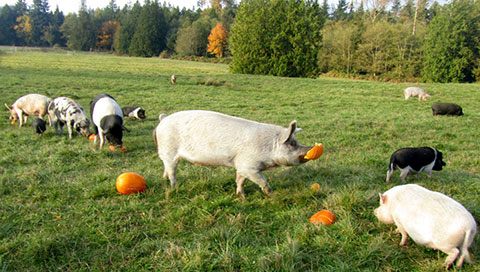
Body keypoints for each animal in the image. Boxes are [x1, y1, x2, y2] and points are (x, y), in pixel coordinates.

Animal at [153, 109, 316, 197]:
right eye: (292, 144)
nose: (309, 148)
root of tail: (163, 119)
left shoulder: (241, 166)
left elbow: (240, 180)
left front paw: (241, 196)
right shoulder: (249, 166)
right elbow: (262, 181)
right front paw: (272, 194)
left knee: (165, 168)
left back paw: (163, 179)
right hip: (169, 151)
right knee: (172, 171)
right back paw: (174, 187)